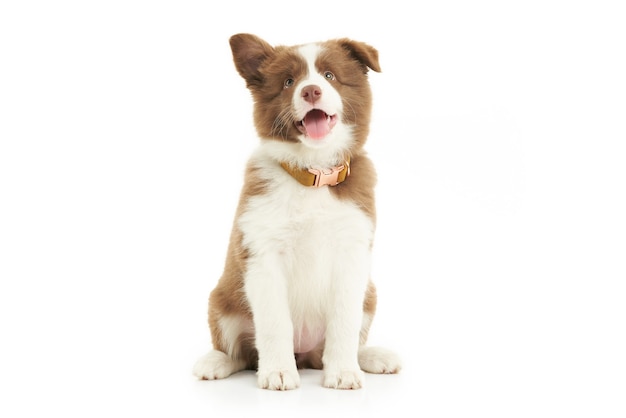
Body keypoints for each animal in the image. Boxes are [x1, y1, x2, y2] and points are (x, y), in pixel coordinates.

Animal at [190, 34, 402, 390]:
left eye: (330, 76)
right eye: (289, 82)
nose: (311, 91)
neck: (312, 174)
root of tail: (306, 356)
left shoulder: (352, 253)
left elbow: (344, 319)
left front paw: (343, 371)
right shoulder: (262, 257)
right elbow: (275, 322)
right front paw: (277, 371)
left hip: (369, 296)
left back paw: (371, 357)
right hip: (221, 301)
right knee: (240, 353)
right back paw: (215, 361)